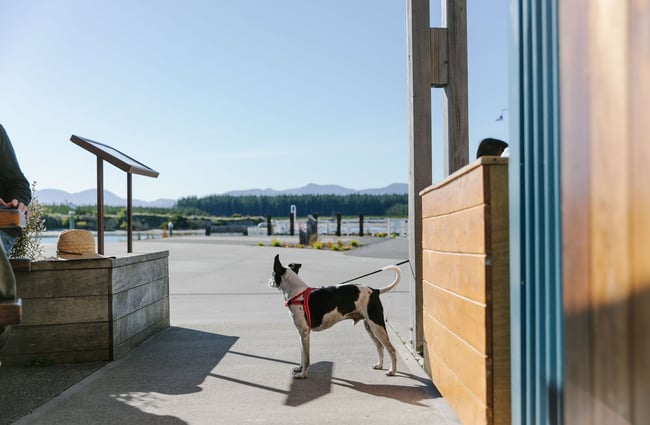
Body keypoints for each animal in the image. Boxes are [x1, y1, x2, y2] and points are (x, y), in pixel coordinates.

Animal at [268, 253, 400, 380]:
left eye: (272, 273)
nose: (268, 281)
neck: (297, 293)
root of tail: (375, 291)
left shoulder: (305, 333)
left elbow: (306, 359)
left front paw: (303, 374)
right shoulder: (301, 334)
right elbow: (302, 354)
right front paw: (299, 369)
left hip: (377, 326)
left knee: (391, 349)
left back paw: (392, 371)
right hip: (370, 327)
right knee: (380, 346)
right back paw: (379, 365)